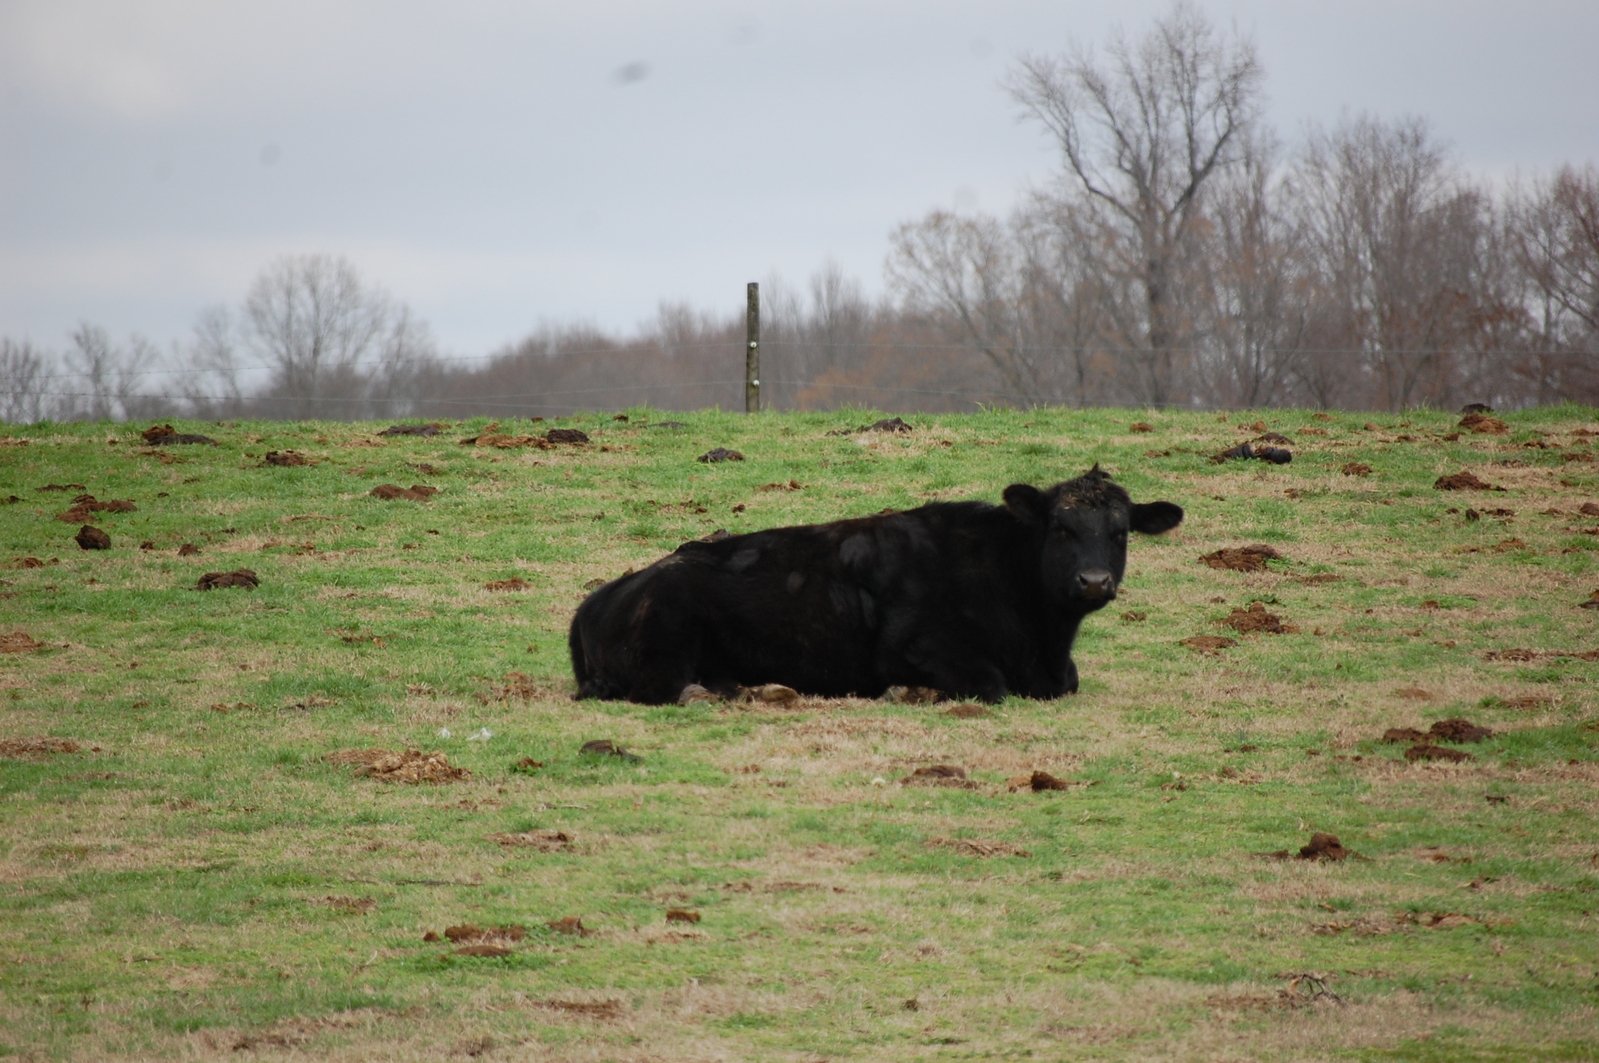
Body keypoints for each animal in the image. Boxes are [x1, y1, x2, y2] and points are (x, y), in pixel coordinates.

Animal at [569, 466, 1183, 703]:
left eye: (1121, 533)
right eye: (1061, 527)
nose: (1094, 581)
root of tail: (598, 600)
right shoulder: (913, 648)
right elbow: (989, 685)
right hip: (667, 633)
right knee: (667, 687)